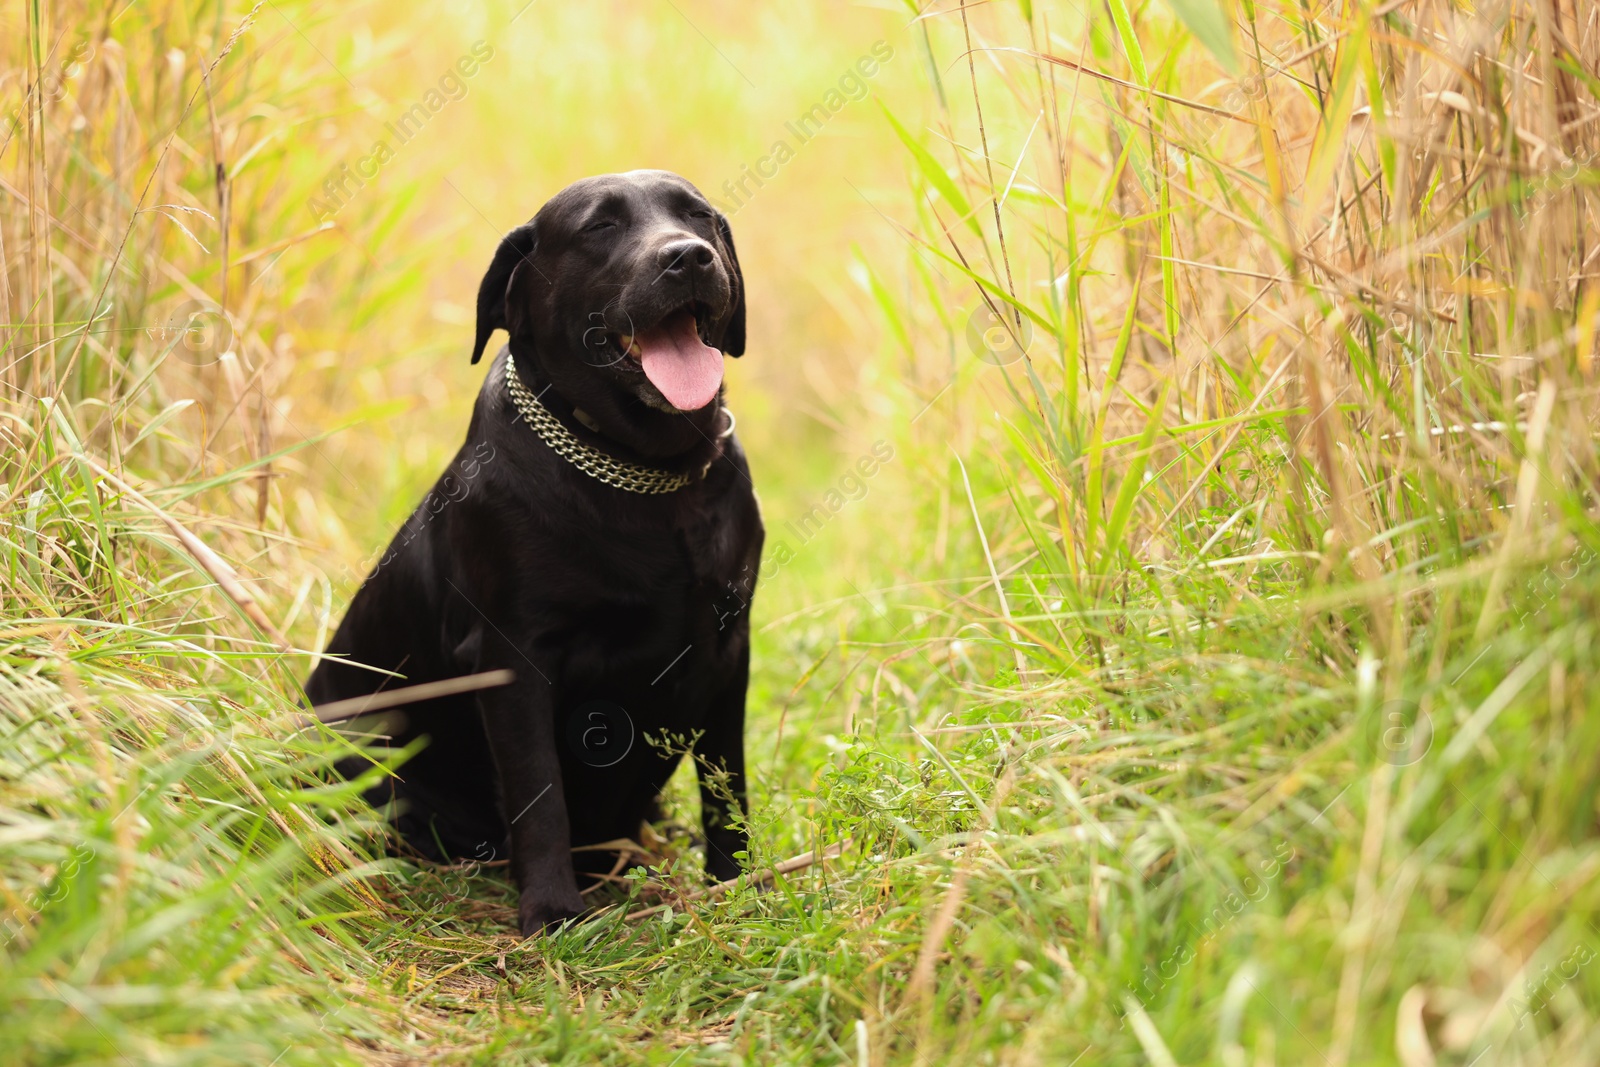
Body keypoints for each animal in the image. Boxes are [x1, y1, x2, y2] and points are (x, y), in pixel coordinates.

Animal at [307, 167, 768, 934]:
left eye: (699, 216)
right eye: (600, 227)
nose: (689, 256)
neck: (648, 475)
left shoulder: (730, 647)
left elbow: (726, 784)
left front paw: (740, 887)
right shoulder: (514, 658)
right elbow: (538, 789)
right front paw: (552, 910)